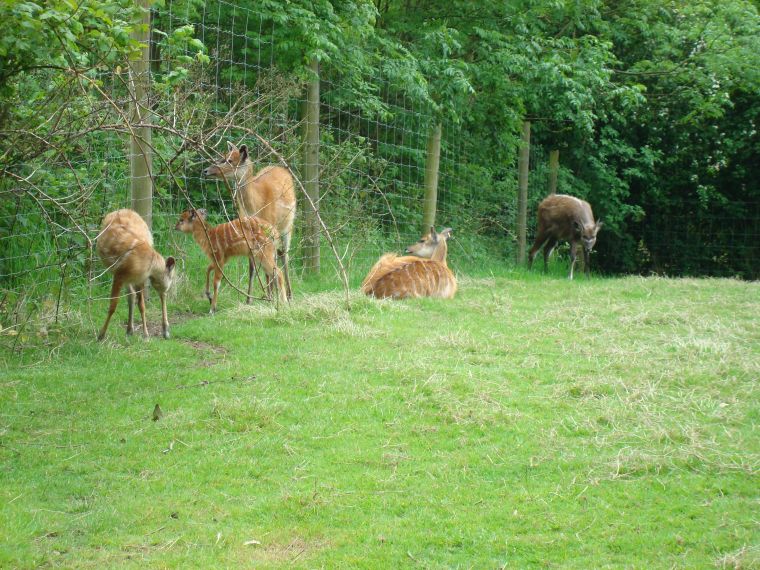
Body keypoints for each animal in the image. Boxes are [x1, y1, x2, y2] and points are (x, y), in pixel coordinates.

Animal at [96, 209, 176, 341]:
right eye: (171, 277)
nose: (167, 290)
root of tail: (120, 209)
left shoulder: (140, 279)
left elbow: (142, 305)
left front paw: (146, 335)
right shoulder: (119, 274)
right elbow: (113, 305)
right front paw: (101, 335)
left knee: (132, 296)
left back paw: (133, 330)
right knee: (131, 295)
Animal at [203, 142, 296, 300]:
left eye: (229, 160)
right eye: (223, 156)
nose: (206, 170)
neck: (256, 205)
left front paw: (270, 296)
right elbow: (252, 267)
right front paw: (249, 299)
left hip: (287, 227)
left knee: (284, 255)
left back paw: (288, 295)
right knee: (278, 256)